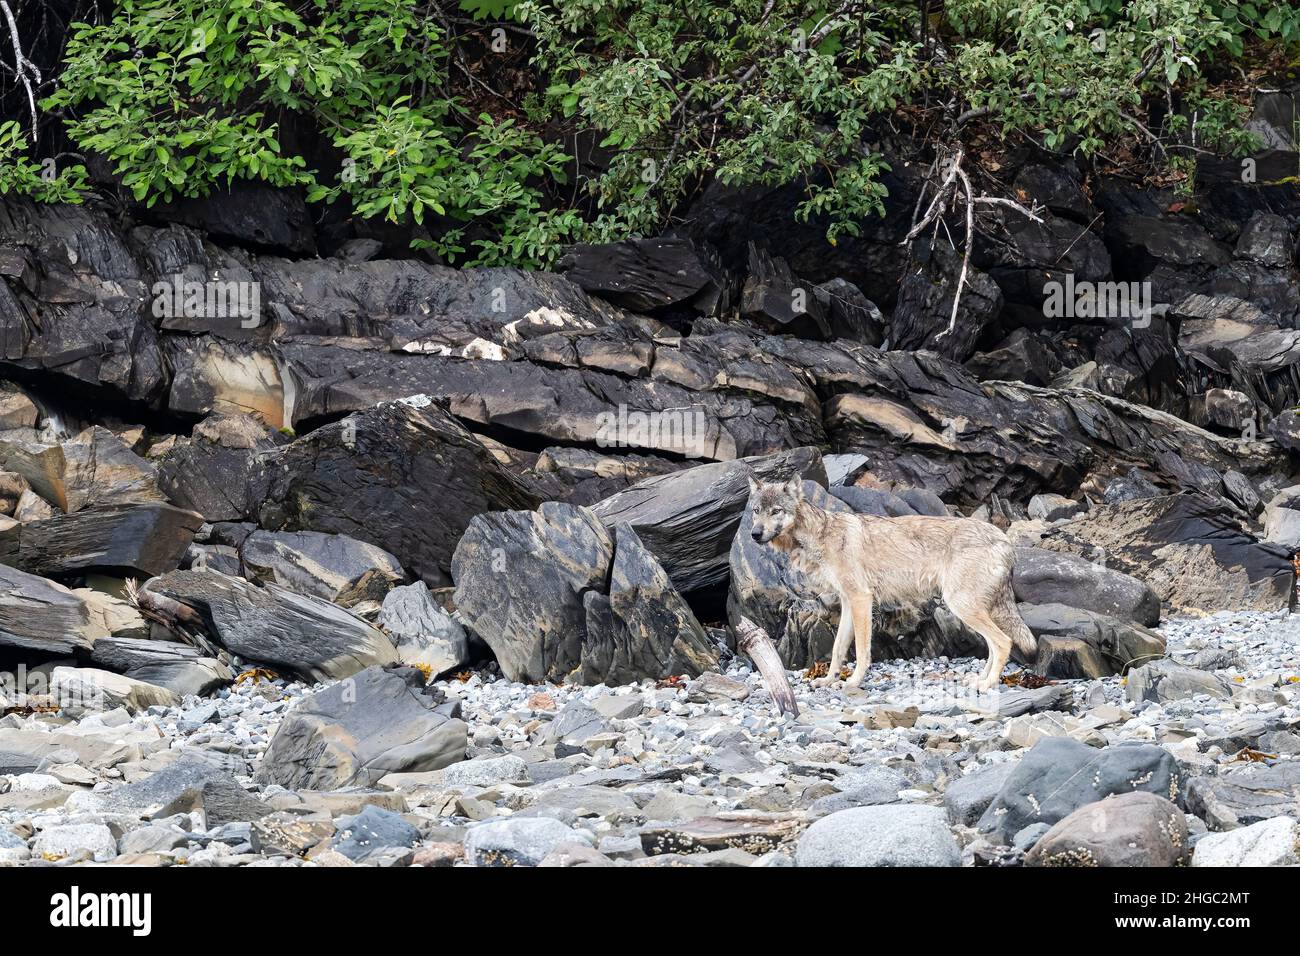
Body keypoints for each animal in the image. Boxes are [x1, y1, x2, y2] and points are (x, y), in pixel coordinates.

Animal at [754, 476, 1034, 686]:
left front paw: (854, 681)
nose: (755, 533)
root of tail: (1005, 539)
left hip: (962, 607)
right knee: (993, 645)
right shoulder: (848, 603)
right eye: (756, 511)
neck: (820, 535)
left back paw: (988, 685)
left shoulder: (861, 599)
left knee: (1003, 642)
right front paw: (829, 680)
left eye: (776, 511)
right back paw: (980, 680)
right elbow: (838, 648)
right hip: (973, 609)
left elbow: (862, 649)